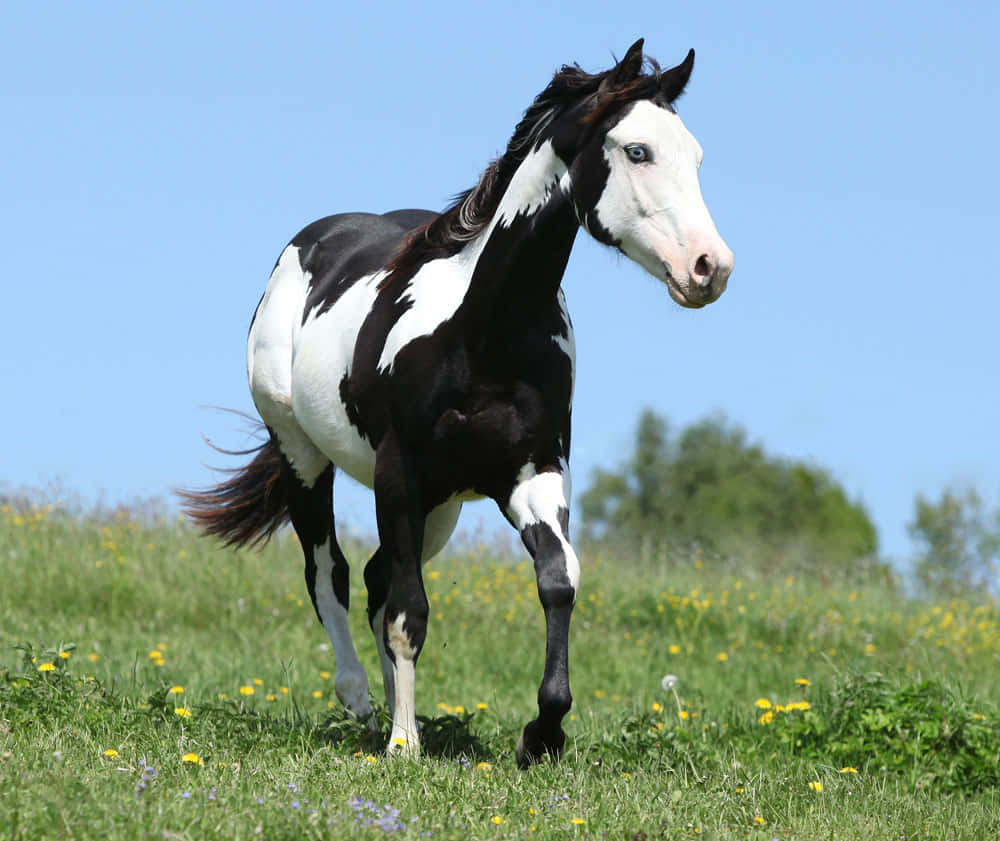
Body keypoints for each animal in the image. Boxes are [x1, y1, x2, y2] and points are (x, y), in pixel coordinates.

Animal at [181, 38, 733, 767]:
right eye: (637, 150)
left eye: (694, 155)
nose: (711, 268)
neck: (483, 334)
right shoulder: (400, 474)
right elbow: (407, 611)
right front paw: (404, 745)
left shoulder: (534, 474)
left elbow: (556, 579)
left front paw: (541, 734)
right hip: (307, 457)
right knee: (331, 574)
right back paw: (361, 703)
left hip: (439, 507)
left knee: (379, 579)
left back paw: (390, 709)